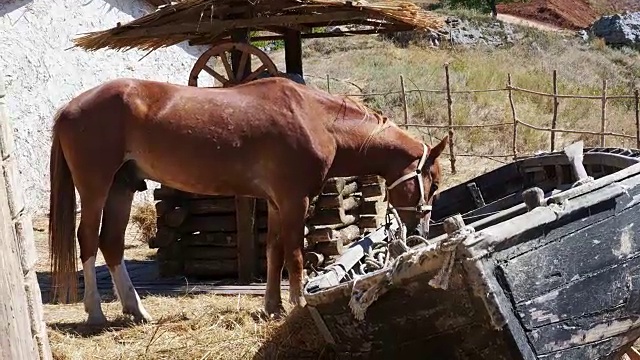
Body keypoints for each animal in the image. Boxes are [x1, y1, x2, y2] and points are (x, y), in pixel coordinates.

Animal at [48, 76, 444, 324]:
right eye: (434, 183)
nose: (421, 229)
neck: (314, 117)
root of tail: (69, 107)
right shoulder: (295, 200)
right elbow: (295, 254)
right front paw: (299, 303)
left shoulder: (276, 202)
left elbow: (273, 252)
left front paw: (273, 306)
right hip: (96, 187)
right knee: (88, 240)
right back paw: (95, 312)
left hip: (122, 188)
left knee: (111, 244)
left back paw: (136, 311)